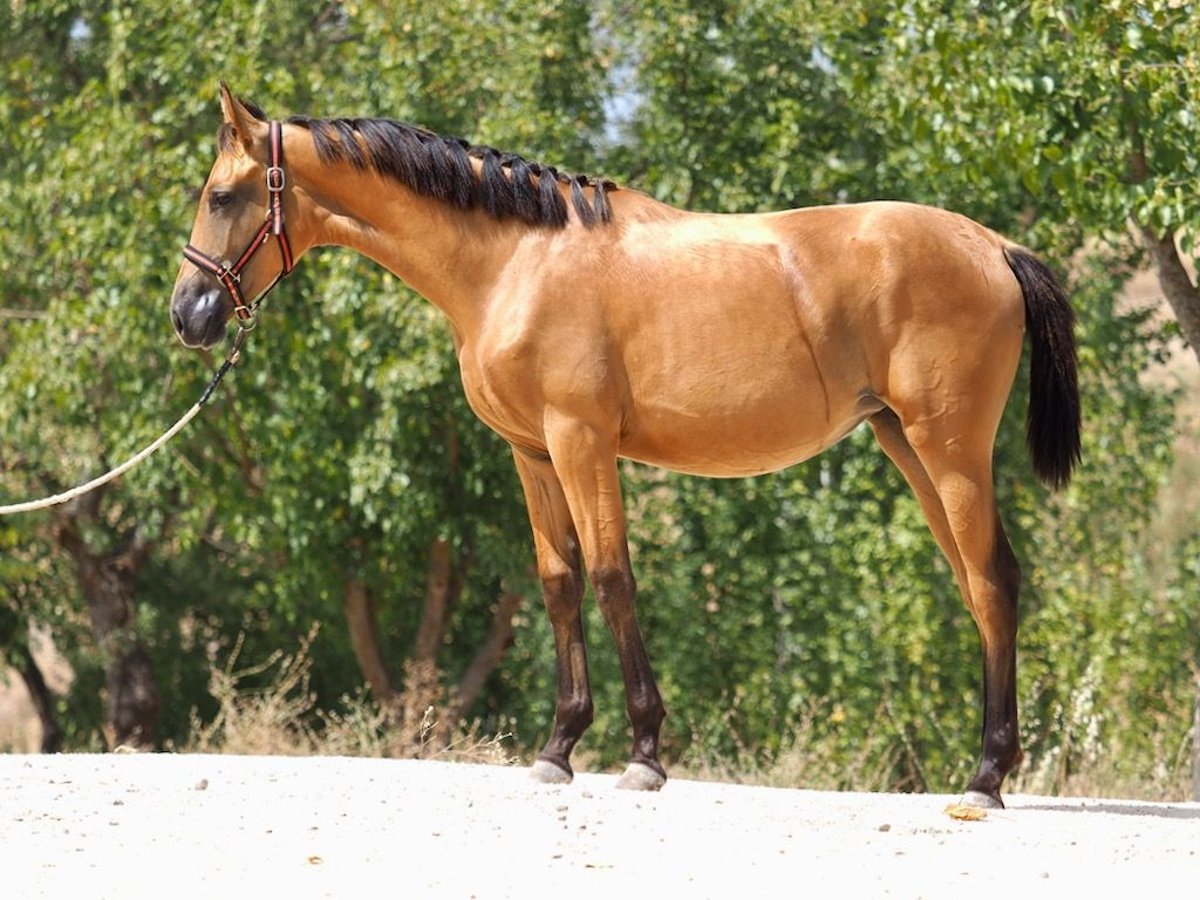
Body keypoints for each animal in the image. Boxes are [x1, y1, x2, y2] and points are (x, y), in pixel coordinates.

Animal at [171, 84, 1079, 809]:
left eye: (222, 195)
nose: (188, 315)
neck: (516, 261)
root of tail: (993, 245)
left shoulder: (582, 441)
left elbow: (612, 578)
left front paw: (643, 754)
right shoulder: (532, 453)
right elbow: (559, 583)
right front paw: (558, 748)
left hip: (950, 448)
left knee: (995, 579)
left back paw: (986, 778)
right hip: (908, 446)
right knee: (976, 584)